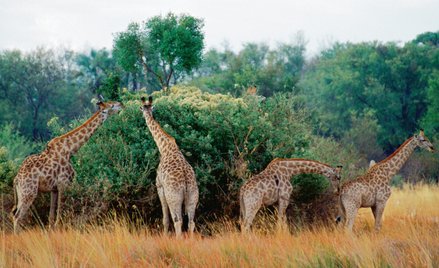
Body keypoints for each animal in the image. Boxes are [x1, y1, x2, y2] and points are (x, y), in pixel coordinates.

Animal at [12, 99, 123, 231]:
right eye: (112, 105)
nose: (122, 104)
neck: (70, 150)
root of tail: (16, 179)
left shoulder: (54, 188)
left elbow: (51, 217)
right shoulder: (64, 183)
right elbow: (59, 213)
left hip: (21, 194)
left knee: (15, 215)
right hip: (29, 193)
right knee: (18, 217)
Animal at [140, 96, 199, 237]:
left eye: (142, 109)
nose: (144, 116)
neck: (165, 147)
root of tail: (185, 183)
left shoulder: (160, 187)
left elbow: (165, 219)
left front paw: (165, 236)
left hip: (174, 198)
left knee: (178, 221)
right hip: (193, 197)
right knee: (191, 222)